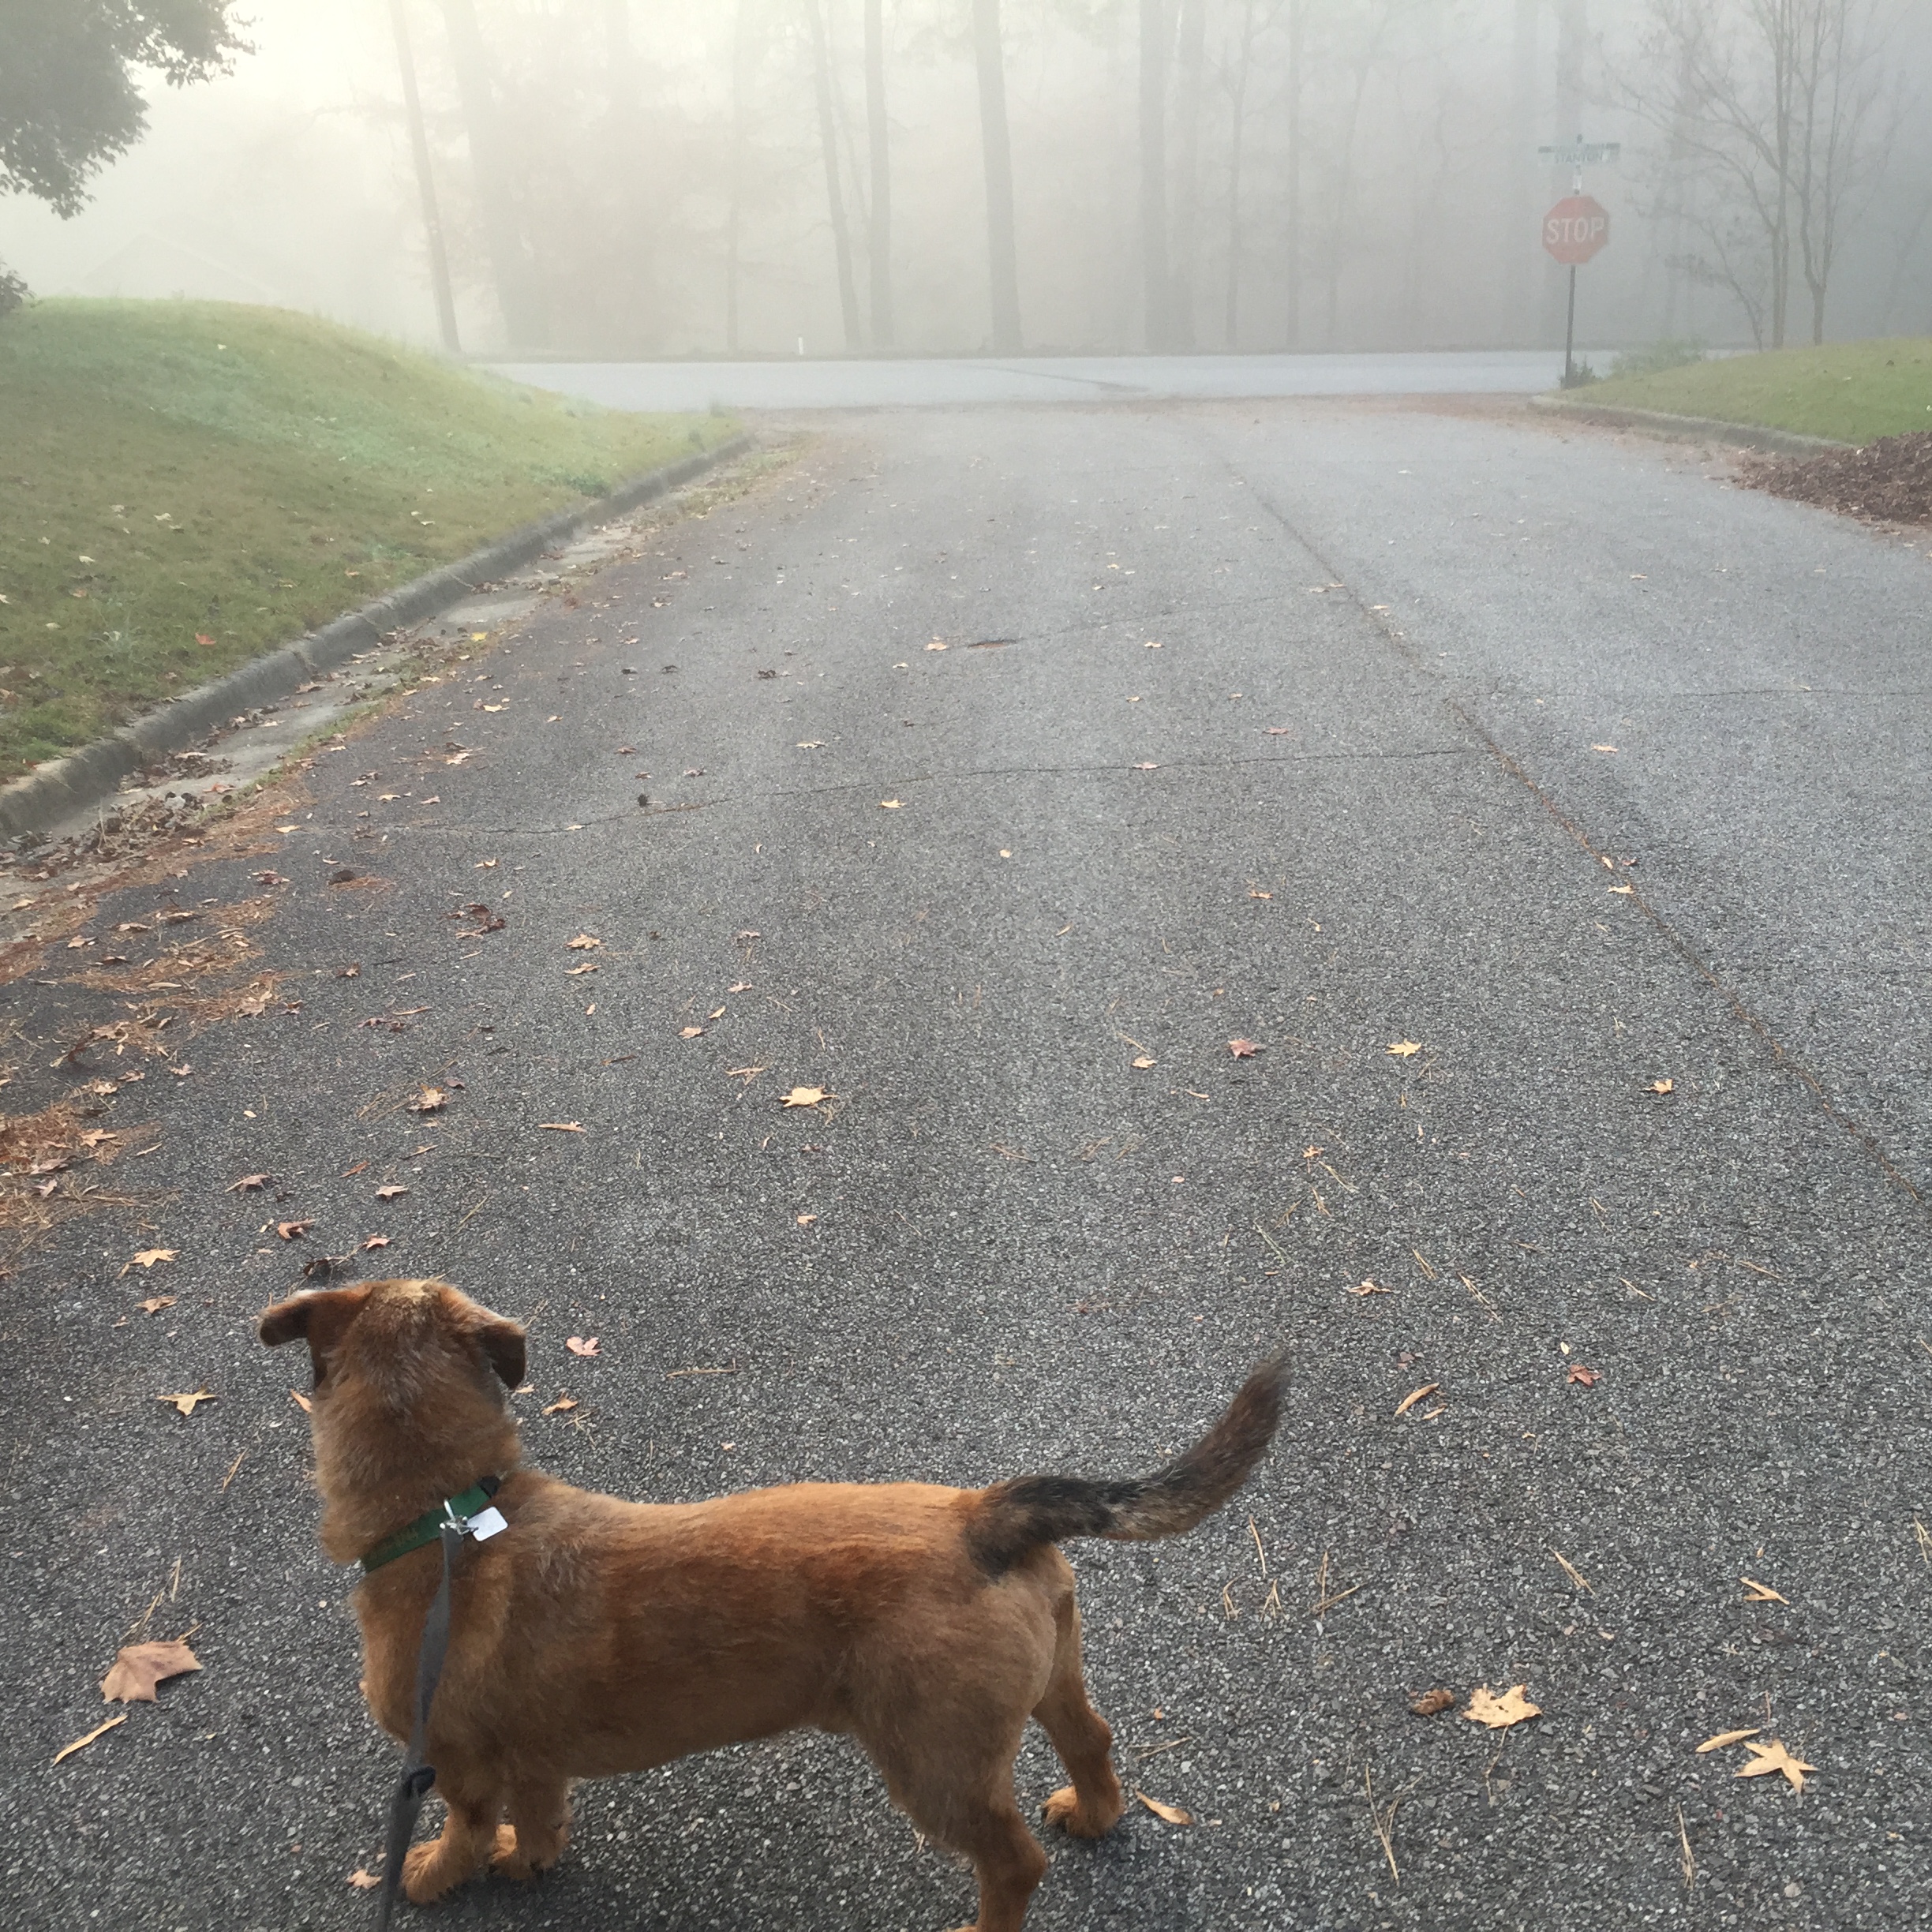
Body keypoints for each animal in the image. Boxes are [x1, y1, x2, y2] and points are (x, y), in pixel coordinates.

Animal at [256, 1275, 1282, 1924]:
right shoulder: (533, 1761)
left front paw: (430, 1877)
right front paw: (530, 1860)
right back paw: (1097, 1812)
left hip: (935, 1766)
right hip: (1050, 1682)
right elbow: (540, 1813)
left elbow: (466, 1833)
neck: (447, 1510)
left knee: (1012, 1863)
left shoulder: (458, 1765)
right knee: (1091, 1740)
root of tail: (980, 1517)